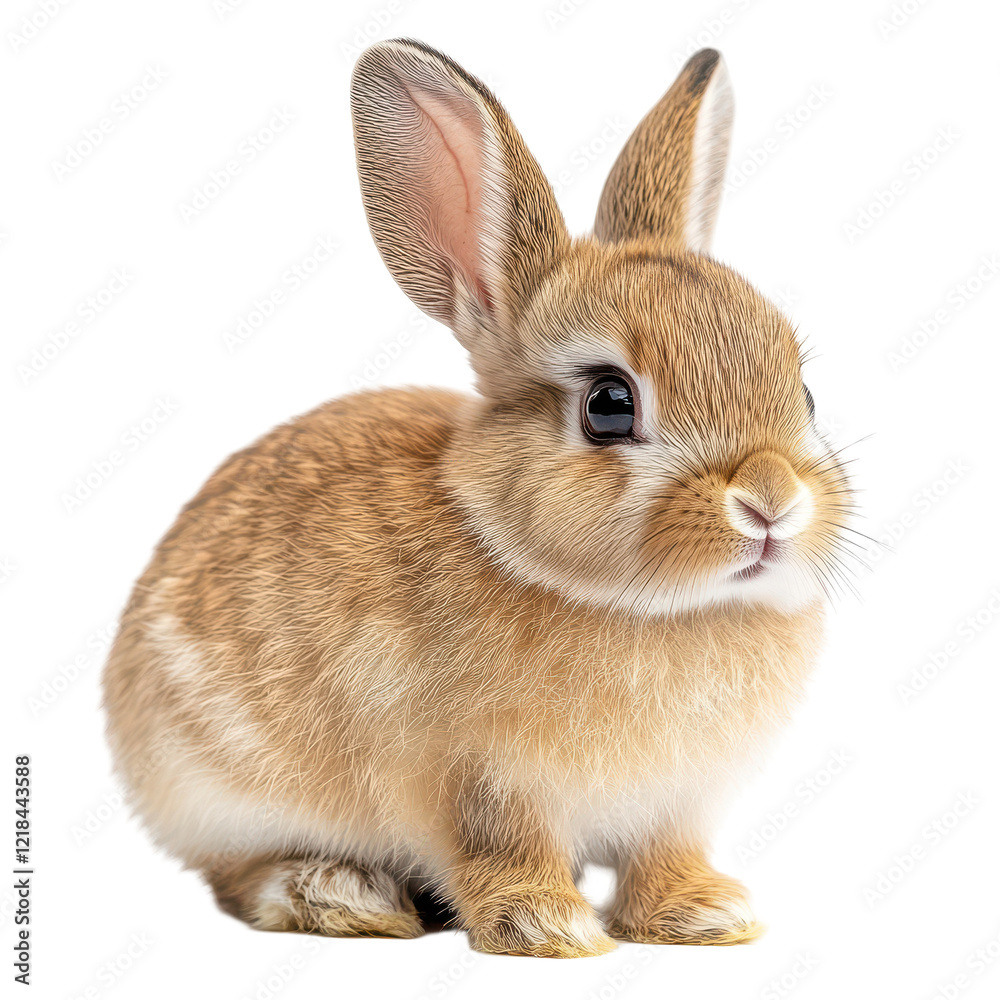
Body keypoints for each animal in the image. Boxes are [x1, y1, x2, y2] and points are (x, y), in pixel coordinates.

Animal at [102, 39, 853, 958]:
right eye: (609, 404)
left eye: (805, 394)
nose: (771, 501)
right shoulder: (475, 786)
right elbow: (502, 851)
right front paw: (548, 927)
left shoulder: (679, 805)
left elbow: (663, 856)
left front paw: (706, 915)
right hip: (214, 792)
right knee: (236, 874)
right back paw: (340, 895)